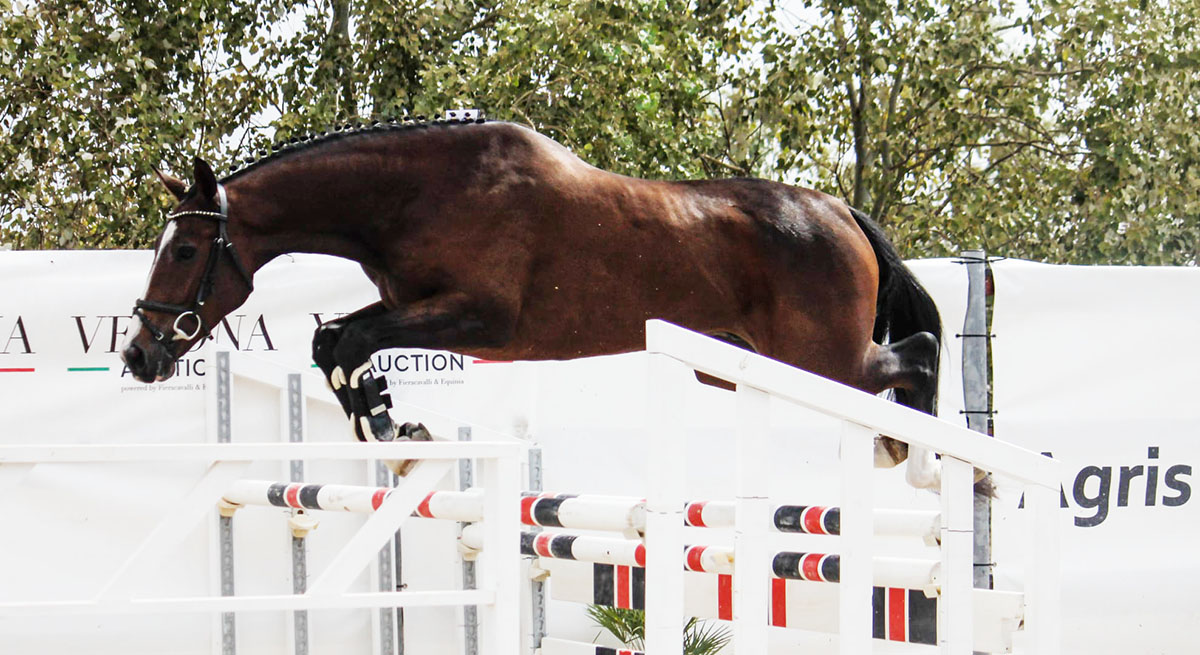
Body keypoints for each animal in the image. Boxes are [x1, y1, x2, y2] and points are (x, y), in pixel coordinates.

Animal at [119, 114, 945, 487]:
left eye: (185, 251)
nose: (139, 354)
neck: (415, 193)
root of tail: (840, 212)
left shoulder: (483, 316)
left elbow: (349, 341)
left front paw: (392, 431)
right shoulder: (418, 305)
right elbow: (335, 343)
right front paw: (394, 426)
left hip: (818, 357)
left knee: (916, 353)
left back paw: (921, 459)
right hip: (738, 363)